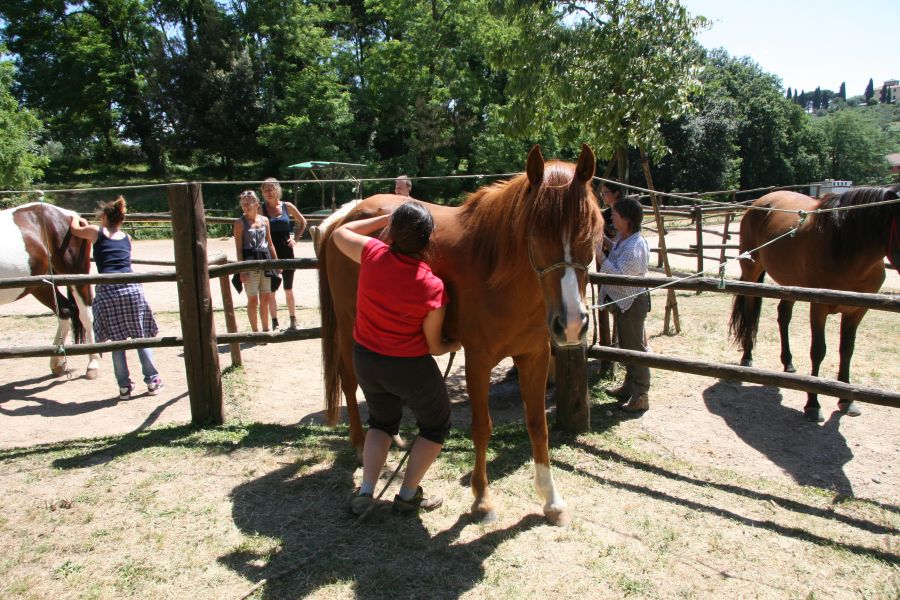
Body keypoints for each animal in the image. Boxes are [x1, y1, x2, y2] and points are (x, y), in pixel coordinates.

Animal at [0, 204, 101, 378]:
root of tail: (70, 215)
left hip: (76, 275)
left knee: (85, 315)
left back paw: (92, 364)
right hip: (40, 285)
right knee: (65, 311)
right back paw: (57, 363)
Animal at [320, 143, 600, 524]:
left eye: (590, 230)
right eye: (535, 234)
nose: (570, 323)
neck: (499, 272)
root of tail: (346, 216)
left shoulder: (535, 357)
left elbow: (537, 425)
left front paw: (551, 500)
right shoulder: (478, 359)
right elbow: (482, 427)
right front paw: (482, 500)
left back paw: (393, 439)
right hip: (350, 327)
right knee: (350, 381)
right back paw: (361, 446)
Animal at [732, 185, 900, 420]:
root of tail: (759, 203)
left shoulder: (857, 310)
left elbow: (847, 350)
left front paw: (846, 400)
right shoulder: (818, 306)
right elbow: (818, 350)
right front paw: (813, 403)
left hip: (791, 284)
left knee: (783, 316)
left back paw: (788, 363)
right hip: (751, 274)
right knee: (749, 314)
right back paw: (747, 357)